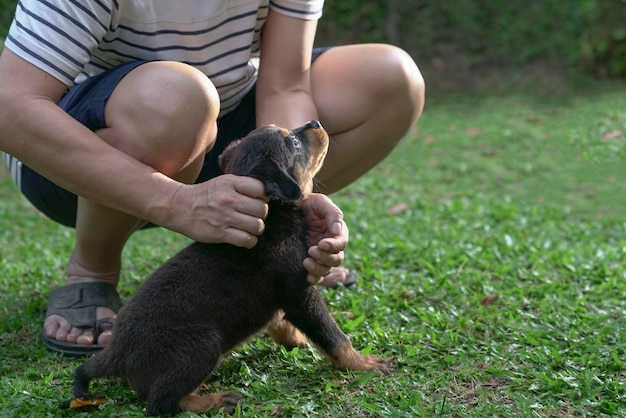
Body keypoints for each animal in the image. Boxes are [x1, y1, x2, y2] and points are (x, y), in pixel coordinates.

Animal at [67, 120, 390, 414]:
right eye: (294, 143)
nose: (316, 122)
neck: (274, 213)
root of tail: (115, 355)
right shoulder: (299, 292)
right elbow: (333, 335)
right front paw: (363, 363)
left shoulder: (283, 298)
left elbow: (284, 325)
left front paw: (299, 342)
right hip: (203, 343)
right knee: (161, 403)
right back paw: (215, 400)